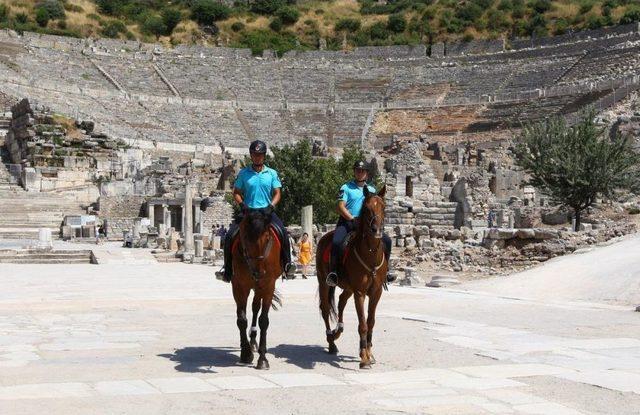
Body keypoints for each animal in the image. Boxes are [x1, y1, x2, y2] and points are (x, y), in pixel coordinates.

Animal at [230, 208, 280, 370]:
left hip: (260, 288)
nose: (258, 272)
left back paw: (253, 341)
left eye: (267, 237)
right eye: (245, 237)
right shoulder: (239, 286)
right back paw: (248, 344)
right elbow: (241, 319)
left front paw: (262, 358)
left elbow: (263, 320)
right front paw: (246, 354)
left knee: (255, 307)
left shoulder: (268, 285)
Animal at [316, 185, 388, 370]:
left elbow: (370, 322)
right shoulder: (360, 293)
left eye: (383, 207)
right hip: (324, 283)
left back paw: (338, 331)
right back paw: (331, 341)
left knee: (341, 301)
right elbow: (362, 324)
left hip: (348, 288)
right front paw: (364, 358)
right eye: (367, 208)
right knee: (325, 310)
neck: (370, 255)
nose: (377, 230)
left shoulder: (376, 293)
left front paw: (369, 352)